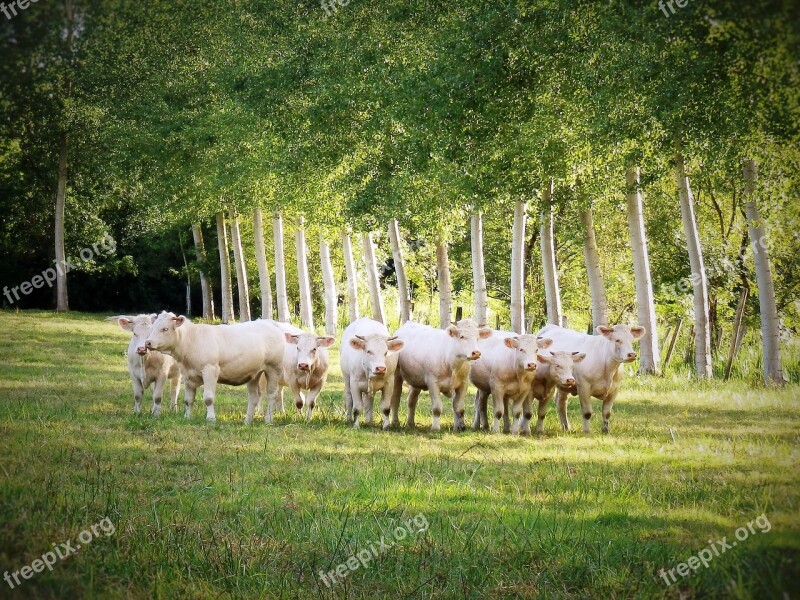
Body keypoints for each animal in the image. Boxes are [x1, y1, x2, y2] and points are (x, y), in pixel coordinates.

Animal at [145, 312, 286, 424]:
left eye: (165, 329)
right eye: (153, 327)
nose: (148, 342)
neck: (191, 340)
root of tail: (270, 322)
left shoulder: (210, 370)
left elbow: (208, 398)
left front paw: (211, 419)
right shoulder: (187, 375)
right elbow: (188, 400)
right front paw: (187, 417)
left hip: (273, 369)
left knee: (271, 394)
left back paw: (268, 419)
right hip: (254, 374)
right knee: (254, 397)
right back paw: (247, 420)